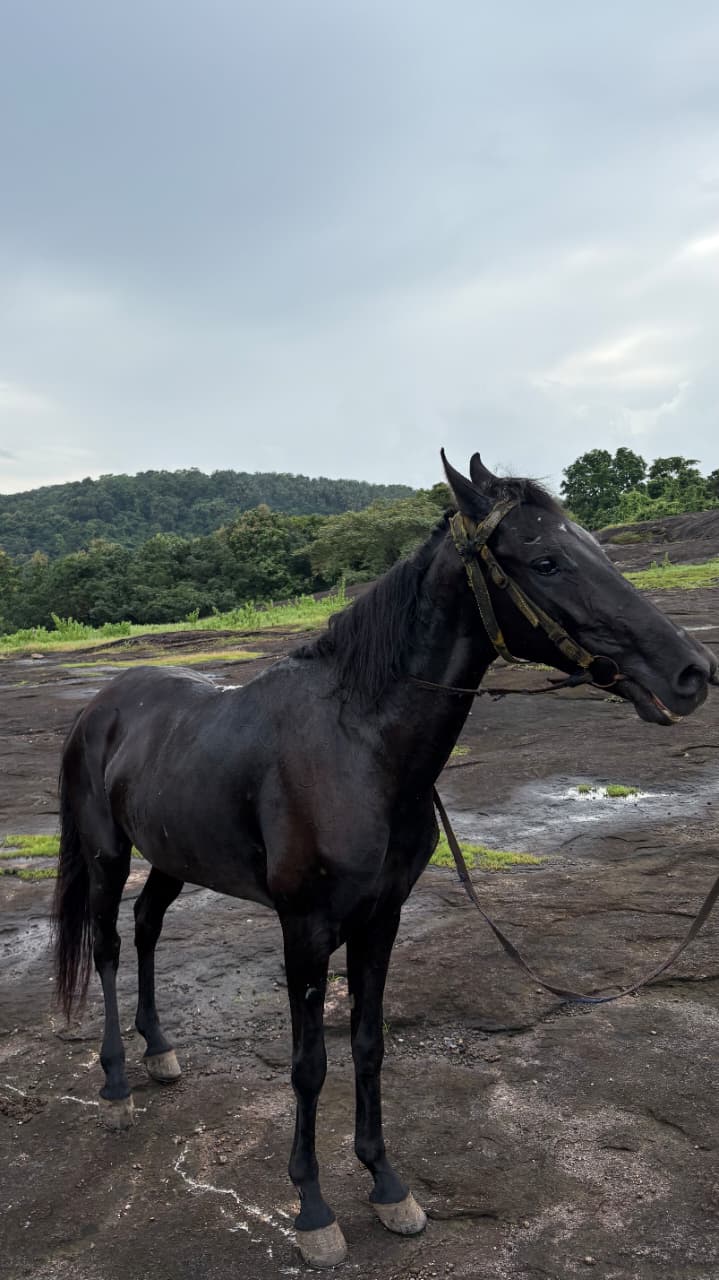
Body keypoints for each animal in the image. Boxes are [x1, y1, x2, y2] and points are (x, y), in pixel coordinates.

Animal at [52, 451, 717, 1268]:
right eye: (545, 561)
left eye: (592, 545)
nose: (692, 672)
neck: (358, 746)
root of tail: (99, 706)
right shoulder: (305, 929)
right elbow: (310, 1065)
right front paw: (312, 1209)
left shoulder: (382, 918)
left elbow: (368, 1047)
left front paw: (386, 1184)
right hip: (108, 853)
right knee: (110, 946)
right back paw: (116, 1083)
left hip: (172, 857)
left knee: (146, 931)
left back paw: (159, 1051)